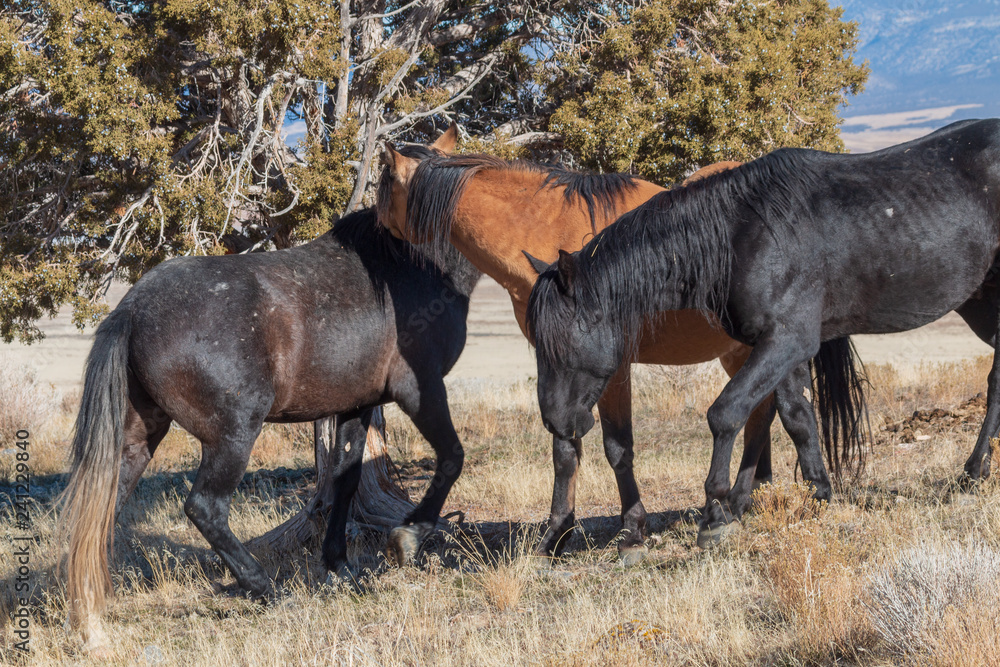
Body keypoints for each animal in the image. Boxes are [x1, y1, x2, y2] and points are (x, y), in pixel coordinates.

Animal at [60, 192, 480, 649]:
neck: (411, 262)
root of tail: (132, 309)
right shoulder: (419, 389)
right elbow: (452, 458)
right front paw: (407, 540)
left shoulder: (357, 405)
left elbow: (345, 479)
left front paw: (341, 569)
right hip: (234, 436)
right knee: (205, 508)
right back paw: (267, 590)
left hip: (140, 438)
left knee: (103, 508)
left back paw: (87, 614)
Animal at [378, 127, 861, 560]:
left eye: (383, 188)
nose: (378, 236)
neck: (545, 234)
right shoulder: (563, 370)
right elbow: (570, 447)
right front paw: (559, 536)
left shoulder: (608, 369)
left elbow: (610, 448)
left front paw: (626, 533)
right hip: (740, 351)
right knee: (763, 412)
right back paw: (748, 496)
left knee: (767, 413)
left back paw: (738, 501)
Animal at [526, 118, 1000, 546]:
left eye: (561, 343)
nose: (555, 422)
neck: (742, 235)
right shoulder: (780, 347)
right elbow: (797, 417)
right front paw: (817, 495)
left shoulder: (787, 340)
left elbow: (727, 412)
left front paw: (716, 513)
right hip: (980, 305)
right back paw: (976, 471)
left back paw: (972, 472)